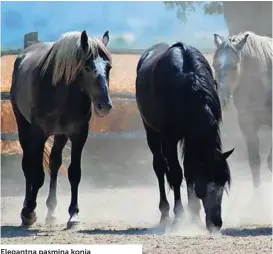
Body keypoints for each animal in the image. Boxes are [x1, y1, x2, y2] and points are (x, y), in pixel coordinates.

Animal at [10, 29, 112, 228]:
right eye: (87, 68)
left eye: (108, 68)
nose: (105, 105)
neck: (61, 92)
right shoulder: (39, 133)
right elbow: (37, 174)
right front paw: (29, 212)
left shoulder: (78, 134)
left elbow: (74, 173)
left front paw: (74, 214)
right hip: (23, 126)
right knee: (28, 164)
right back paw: (27, 208)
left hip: (60, 135)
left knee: (54, 163)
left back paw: (51, 211)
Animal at [136, 42, 234, 232]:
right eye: (207, 182)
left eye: (223, 183)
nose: (216, 223)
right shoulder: (170, 138)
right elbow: (176, 173)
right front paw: (180, 216)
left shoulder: (190, 138)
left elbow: (189, 171)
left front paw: (194, 215)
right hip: (151, 131)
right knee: (160, 167)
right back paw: (165, 214)